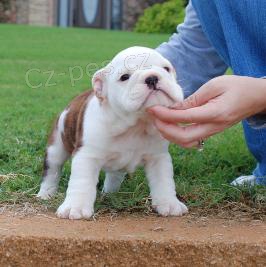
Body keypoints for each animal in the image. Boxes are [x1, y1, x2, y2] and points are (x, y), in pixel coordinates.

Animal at [37, 47, 188, 221]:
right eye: (125, 77)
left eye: (166, 69)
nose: (152, 78)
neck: (135, 125)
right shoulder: (86, 156)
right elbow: (82, 182)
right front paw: (75, 207)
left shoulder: (158, 158)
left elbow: (164, 181)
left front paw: (170, 203)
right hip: (56, 147)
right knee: (52, 170)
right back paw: (46, 193)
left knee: (114, 175)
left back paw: (110, 193)